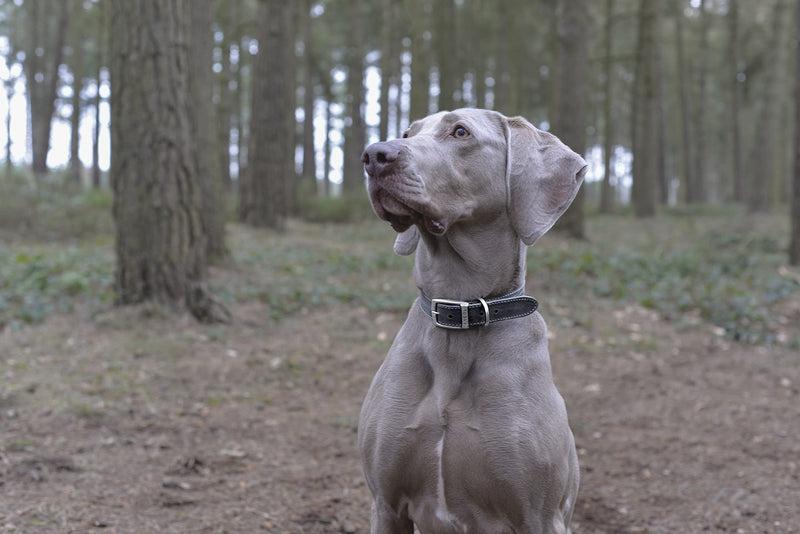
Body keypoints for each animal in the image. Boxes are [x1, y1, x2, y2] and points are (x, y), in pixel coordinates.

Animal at [360, 109, 584, 534]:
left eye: (460, 131)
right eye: (407, 133)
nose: (373, 155)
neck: (459, 310)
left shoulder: (539, 516)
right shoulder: (386, 504)